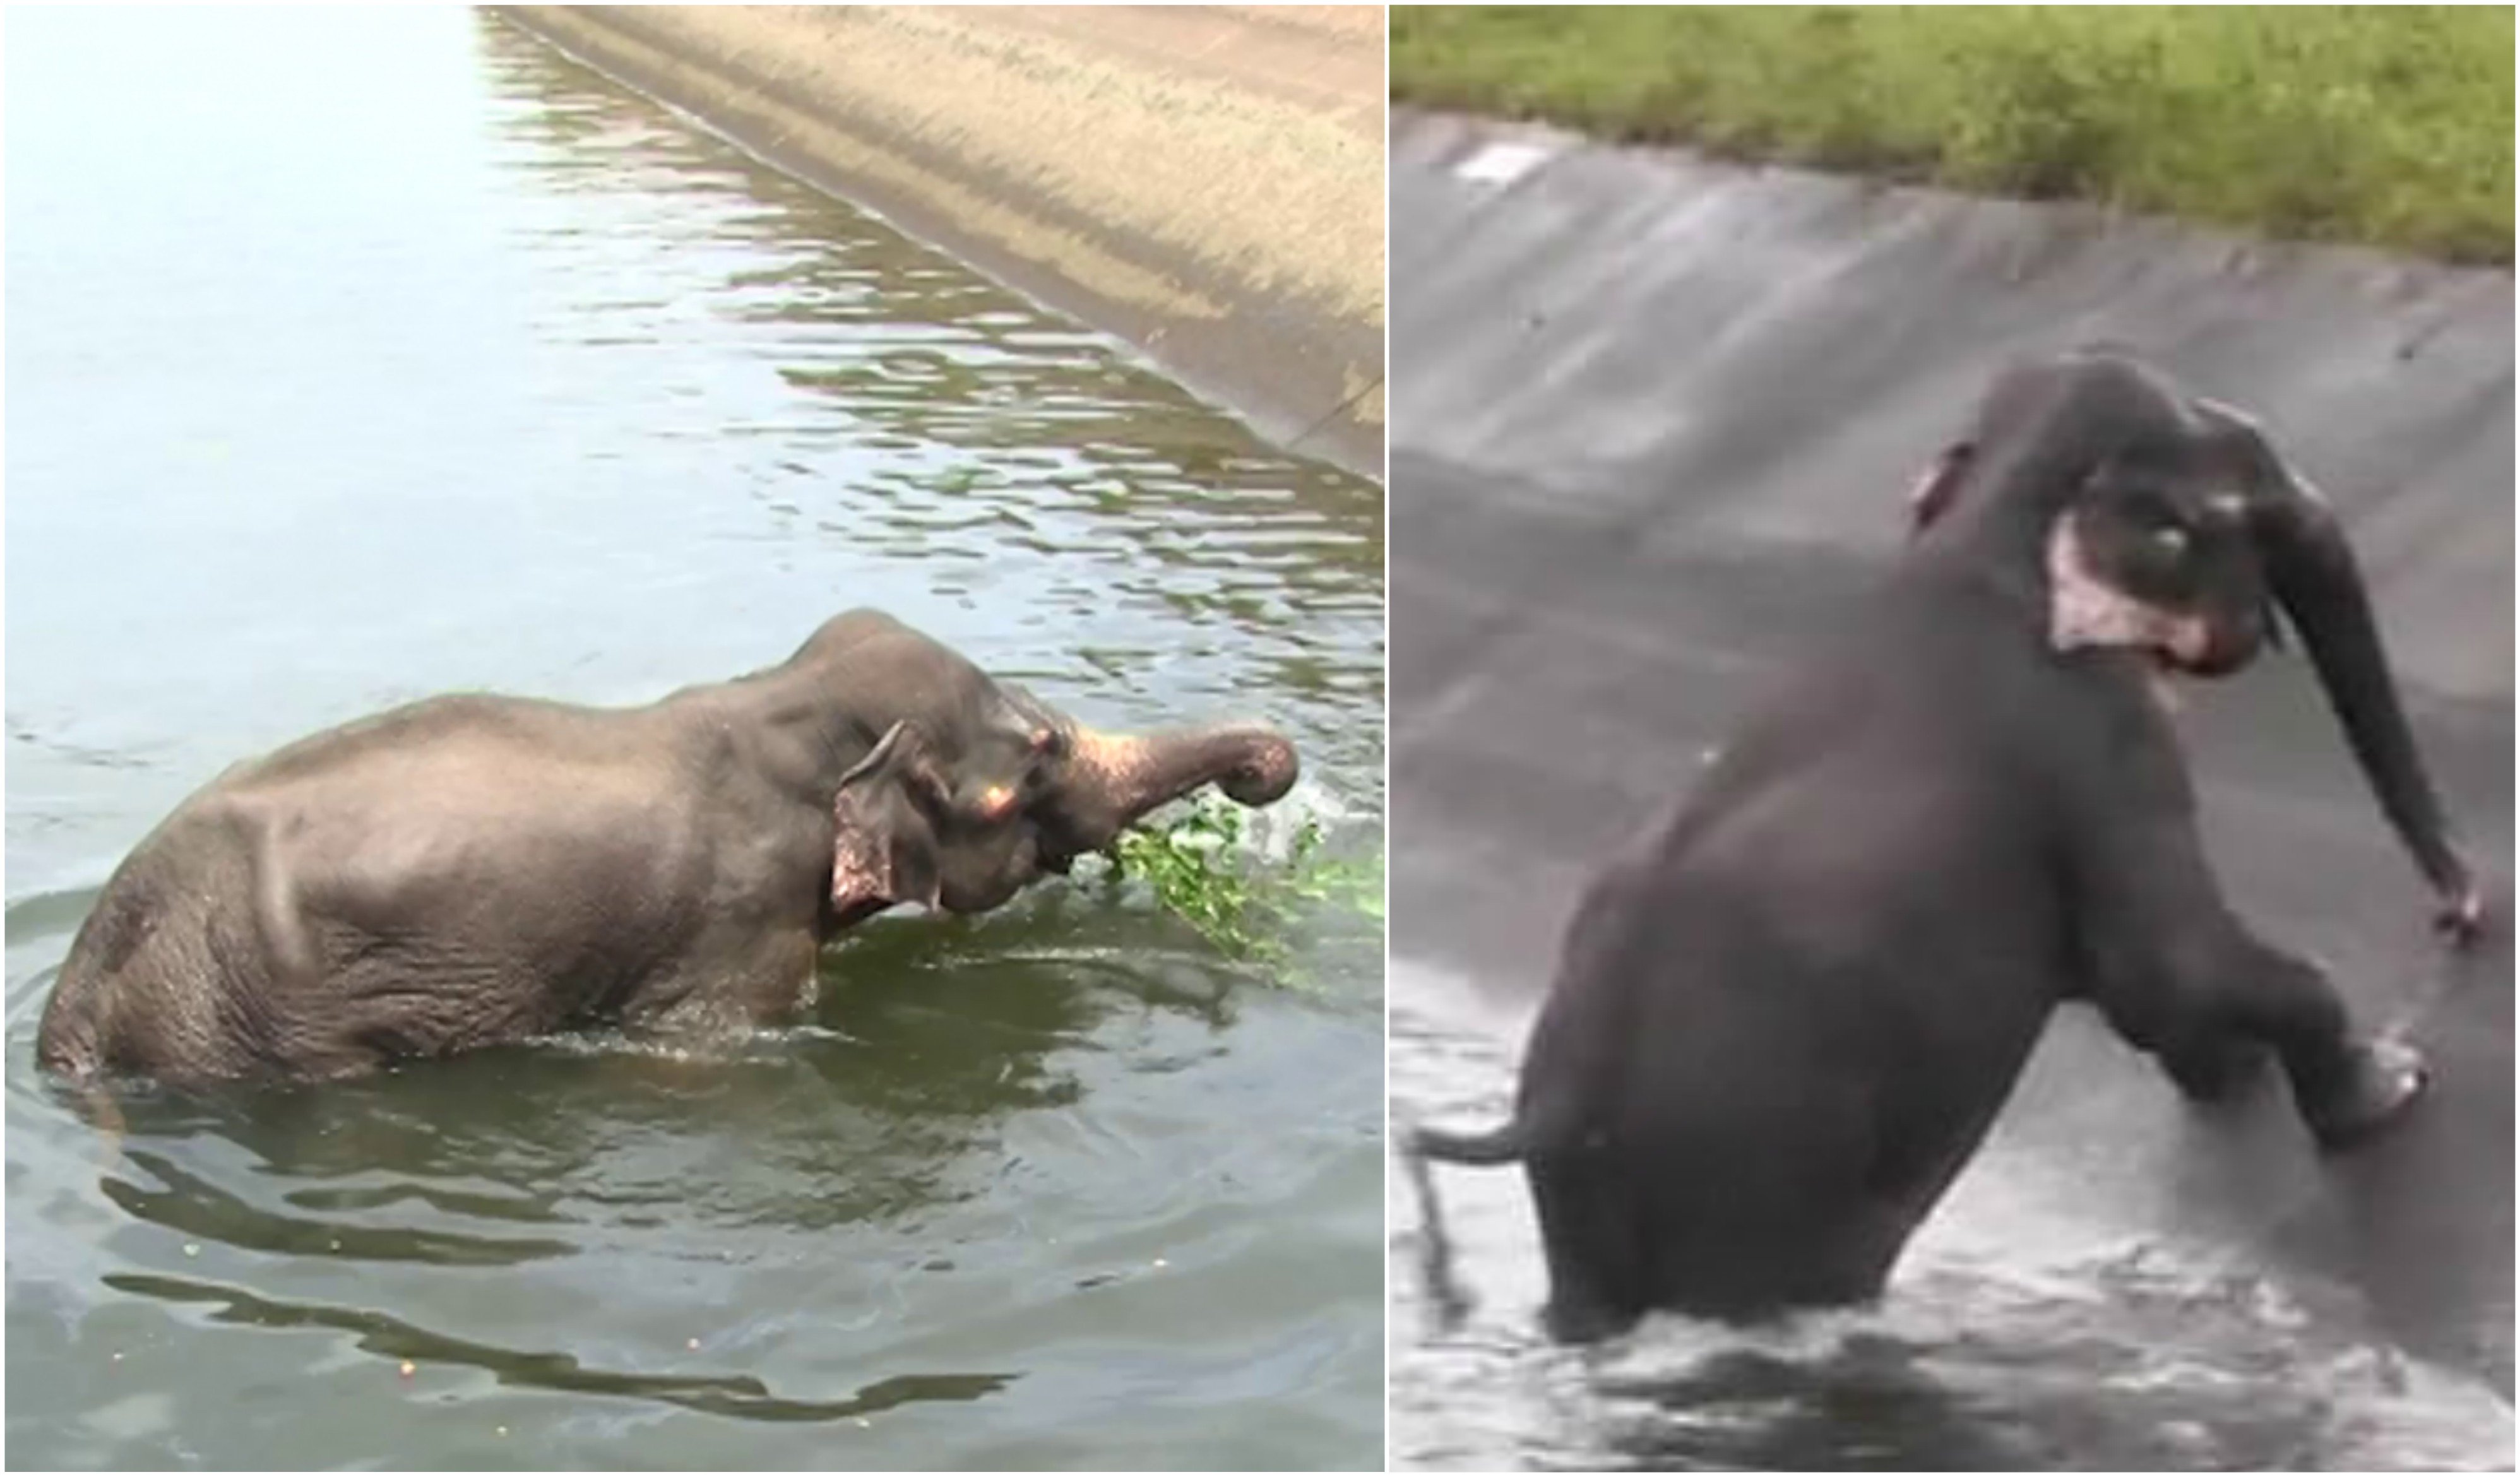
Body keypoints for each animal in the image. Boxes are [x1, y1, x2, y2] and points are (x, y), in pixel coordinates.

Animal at [34, 610, 1300, 1079]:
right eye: (1036, 757)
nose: (1263, 774)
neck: (783, 707)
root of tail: (83, 984)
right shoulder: (735, 935)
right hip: (257, 1022)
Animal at [1411, 350, 2490, 1341]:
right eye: (2251, 489)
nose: (2464, 915)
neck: (1997, 515)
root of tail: (1550, 1107)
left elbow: (2136, 986)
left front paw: (2227, 1072)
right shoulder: (2091, 733)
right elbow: (2169, 963)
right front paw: (2394, 1087)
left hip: (1595, 1208)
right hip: (1754, 1162)